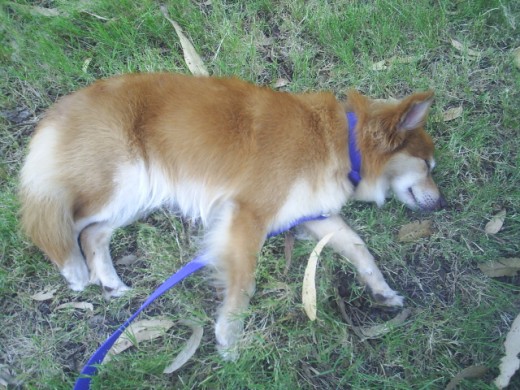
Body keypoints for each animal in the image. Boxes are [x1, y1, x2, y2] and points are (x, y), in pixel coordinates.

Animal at [18, 73, 444, 360]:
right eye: (426, 165)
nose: (441, 203)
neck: (340, 141)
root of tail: (61, 109)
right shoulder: (248, 215)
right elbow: (243, 282)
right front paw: (229, 336)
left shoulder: (310, 214)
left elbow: (359, 248)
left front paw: (382, 291)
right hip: (121, 180)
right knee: (61, 223)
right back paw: (73, 268)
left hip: (139, 192)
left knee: (92, 233)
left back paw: (110, 281)